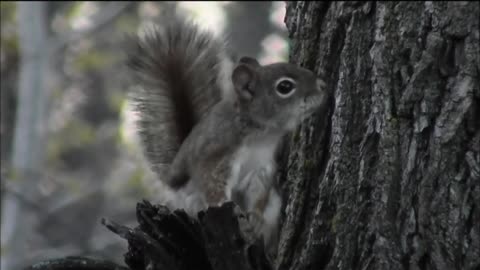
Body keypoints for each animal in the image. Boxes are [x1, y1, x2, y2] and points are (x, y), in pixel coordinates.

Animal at [124, 13, 328, 256]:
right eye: (285, 87)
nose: (322, 86)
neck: (260, 135)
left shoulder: (261, 167)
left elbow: (259, 193)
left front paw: (255, 216)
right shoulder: (218, 155)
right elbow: (215, 189)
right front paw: (229, 208)